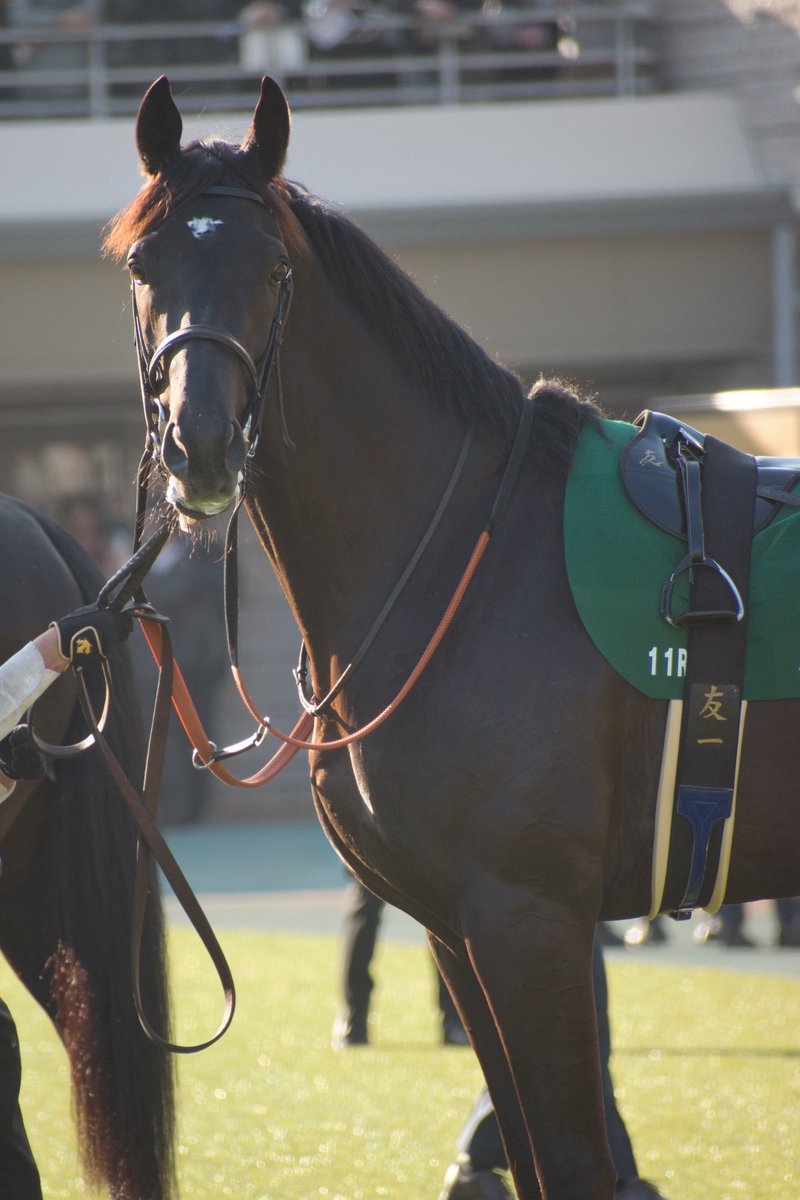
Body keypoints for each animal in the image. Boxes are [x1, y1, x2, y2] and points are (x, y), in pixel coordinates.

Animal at [102, 75, 800, 1199]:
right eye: (141, 265)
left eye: (273, 268)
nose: (199, 445)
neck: (466, 558)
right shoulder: (454, 929)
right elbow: (520, 1149)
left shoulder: (528, 919)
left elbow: (570, 1160)